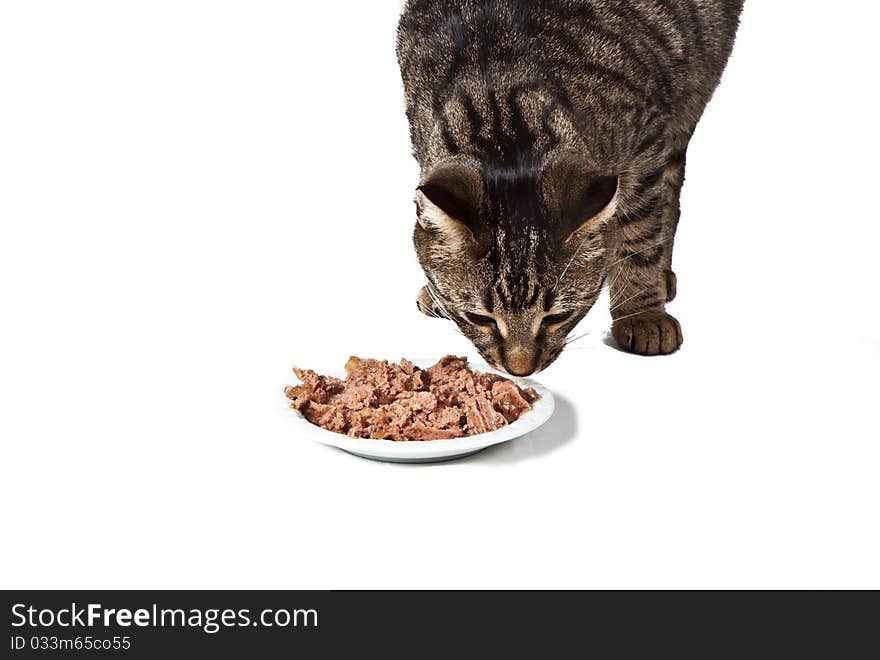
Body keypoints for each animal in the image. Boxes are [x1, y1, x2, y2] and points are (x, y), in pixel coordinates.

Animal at [398, 0, 744, 376]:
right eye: (480, 318)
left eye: (556, 317)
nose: (520, 370)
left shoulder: (646, 141)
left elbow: (640, 235)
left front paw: (641, 312)